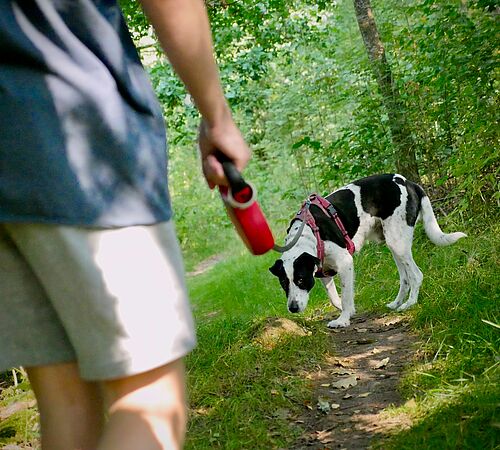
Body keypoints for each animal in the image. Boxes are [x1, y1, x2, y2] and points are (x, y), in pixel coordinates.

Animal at [272, 174, 466, 328]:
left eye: (301, 279)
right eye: (283, 283)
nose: (293, 308)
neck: (309, 233)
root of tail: (409, 183)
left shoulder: (345, 263)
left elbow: (345, 296)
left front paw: (343, 320)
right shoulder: (323, 271)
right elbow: (335, 298)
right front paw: (347, 311)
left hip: (398, 243)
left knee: (416, 275)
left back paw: (409, 304)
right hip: (394, 243)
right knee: (405, 278)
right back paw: (396, 303)